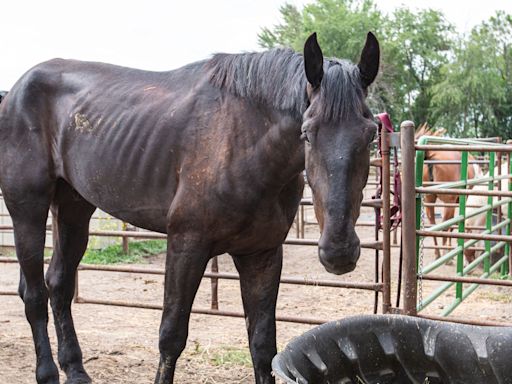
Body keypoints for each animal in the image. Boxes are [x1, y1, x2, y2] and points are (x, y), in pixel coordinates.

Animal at [0, 33, 380, 384]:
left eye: (371, 134)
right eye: (307, 132)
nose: (339, 252)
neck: (240, 141)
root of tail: (16, 91)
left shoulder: (262, 254)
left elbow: (262, 345)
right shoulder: (186, 244)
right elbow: (171, 337)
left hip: (74, 207)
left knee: (60, 285)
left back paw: (76, 370)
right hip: (27, 209)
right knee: (34, 294)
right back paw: (47, 373)